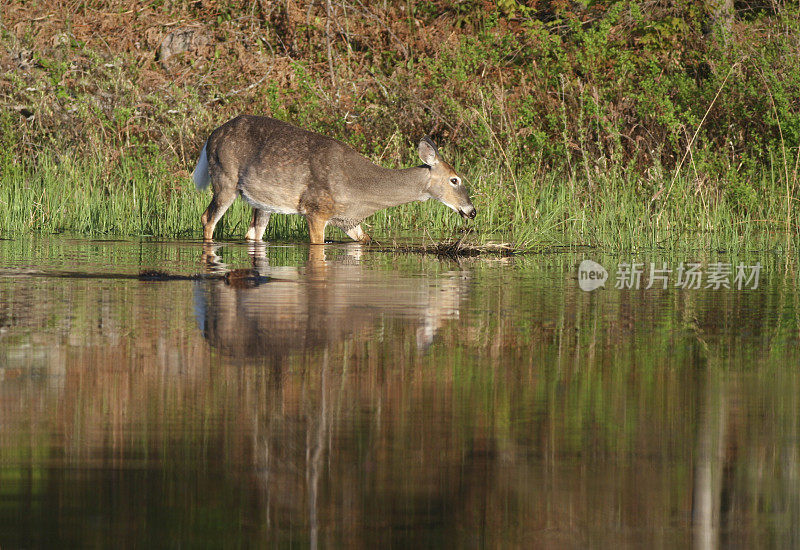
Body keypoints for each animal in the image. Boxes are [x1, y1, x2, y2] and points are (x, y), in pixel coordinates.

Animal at [192, 115, 476, 245]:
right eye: (455, 180)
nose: (471, 211)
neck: (359, 190)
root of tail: (210, 137)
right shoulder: (316, 209)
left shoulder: (347, 220)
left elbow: (366, 240)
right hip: (225, 180)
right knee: (207, 218)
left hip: (261, 202)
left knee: (253, 233)